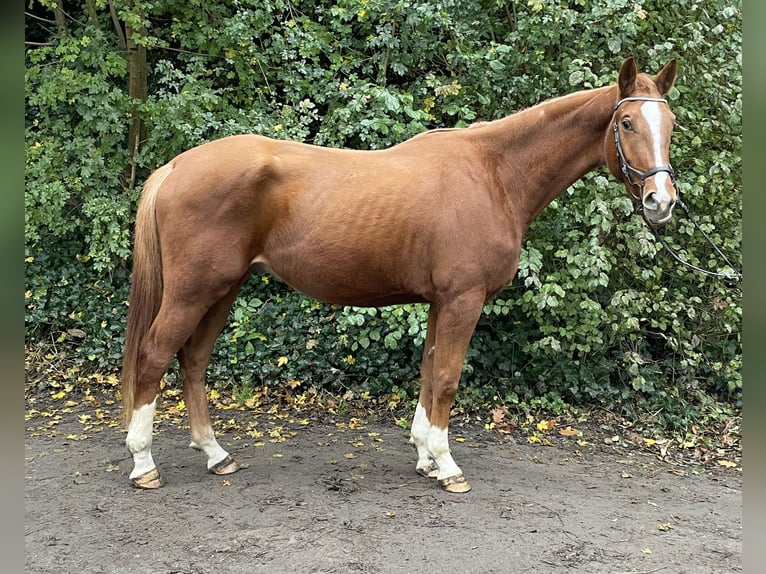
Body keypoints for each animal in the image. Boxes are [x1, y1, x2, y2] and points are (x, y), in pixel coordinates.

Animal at [120, 56, 680, 492]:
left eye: (670, 124)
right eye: (627, 123)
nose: (661, 202)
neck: (493, 173)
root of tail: (175, 167)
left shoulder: (440, 301)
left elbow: (429, 373)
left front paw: (425, 456)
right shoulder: (463, 299)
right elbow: (448, 378)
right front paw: (448, 467)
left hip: (223, 290)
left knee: (193, 361)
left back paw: (216, 455)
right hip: (193, 291)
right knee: (154, 356)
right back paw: (144, 463)